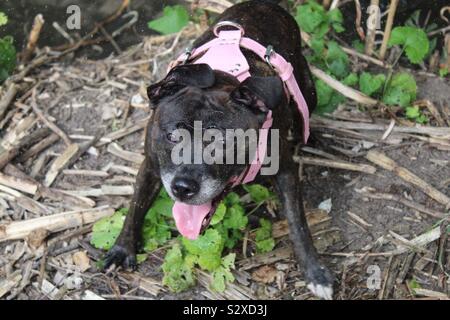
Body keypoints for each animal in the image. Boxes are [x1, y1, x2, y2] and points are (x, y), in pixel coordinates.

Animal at [104, 0, 334, 300]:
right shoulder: (151, 166)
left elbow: (298, 225)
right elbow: (135, 206)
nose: (183, 187)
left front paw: (315, 272)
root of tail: (264, 4)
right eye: (172, 135)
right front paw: (123, 248)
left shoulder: (285, 171)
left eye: (223, 142)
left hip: (307, 88)